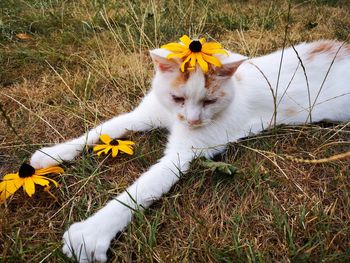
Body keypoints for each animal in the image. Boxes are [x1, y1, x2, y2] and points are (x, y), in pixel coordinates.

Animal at [30, 38, 350, 262]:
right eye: (177, 98)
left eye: (209, 101)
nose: (193, 120)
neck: (174, 117)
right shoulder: (144, 115)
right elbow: (102, 129)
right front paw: (51, 156)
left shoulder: (182, 154)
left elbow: (142, 188)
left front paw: (92, 233)